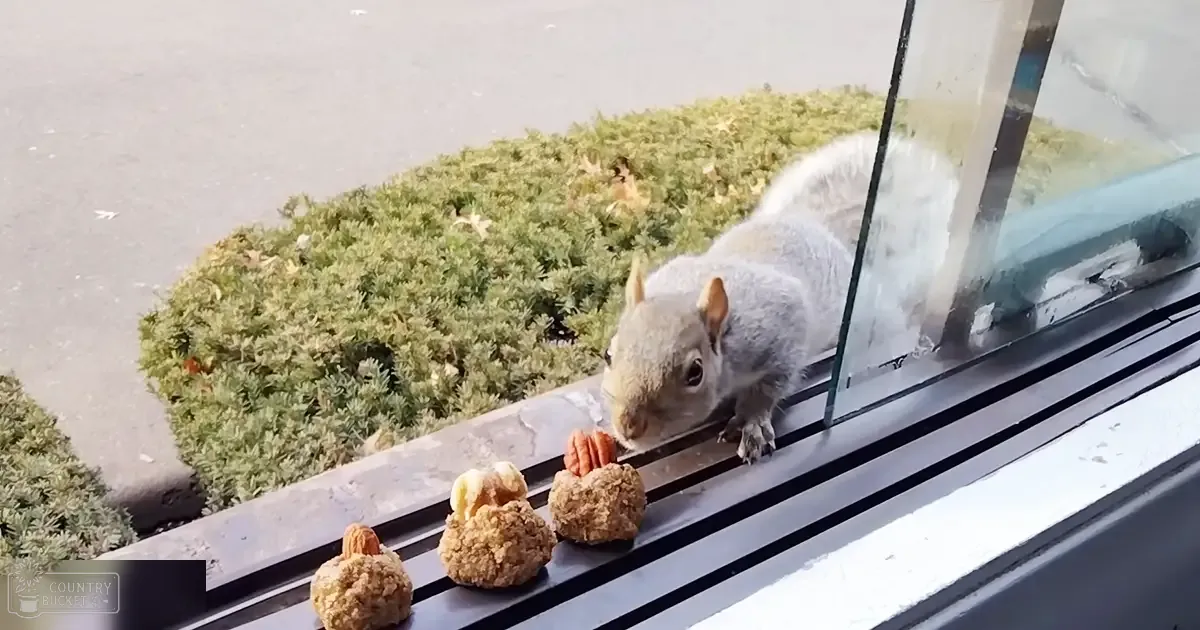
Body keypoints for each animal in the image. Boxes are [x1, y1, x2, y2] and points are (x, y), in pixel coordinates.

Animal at [600, 131, 960, 464]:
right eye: (608, 354)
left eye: (695, 373)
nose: (628, 426)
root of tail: (823, 231)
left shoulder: (780, 330)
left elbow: (772, 384)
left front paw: (752, 422)